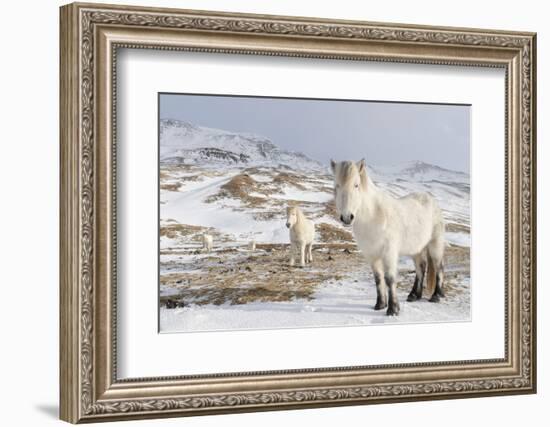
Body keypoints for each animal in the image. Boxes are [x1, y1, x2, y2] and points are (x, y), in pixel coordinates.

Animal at [330, 159, 446, 316]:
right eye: (337, 185)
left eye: (356, 185)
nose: (347, 217)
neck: (374, 216)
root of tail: (430, 199)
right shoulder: (372, 255)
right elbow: (378, 279)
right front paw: (380, 304)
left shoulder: (389, 253)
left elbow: (389, 279)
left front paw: (393, 309)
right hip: (416, 249)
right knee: (421, 267)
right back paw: (414, 295)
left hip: (435, 244)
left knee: (438, 266)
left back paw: (436, 296)